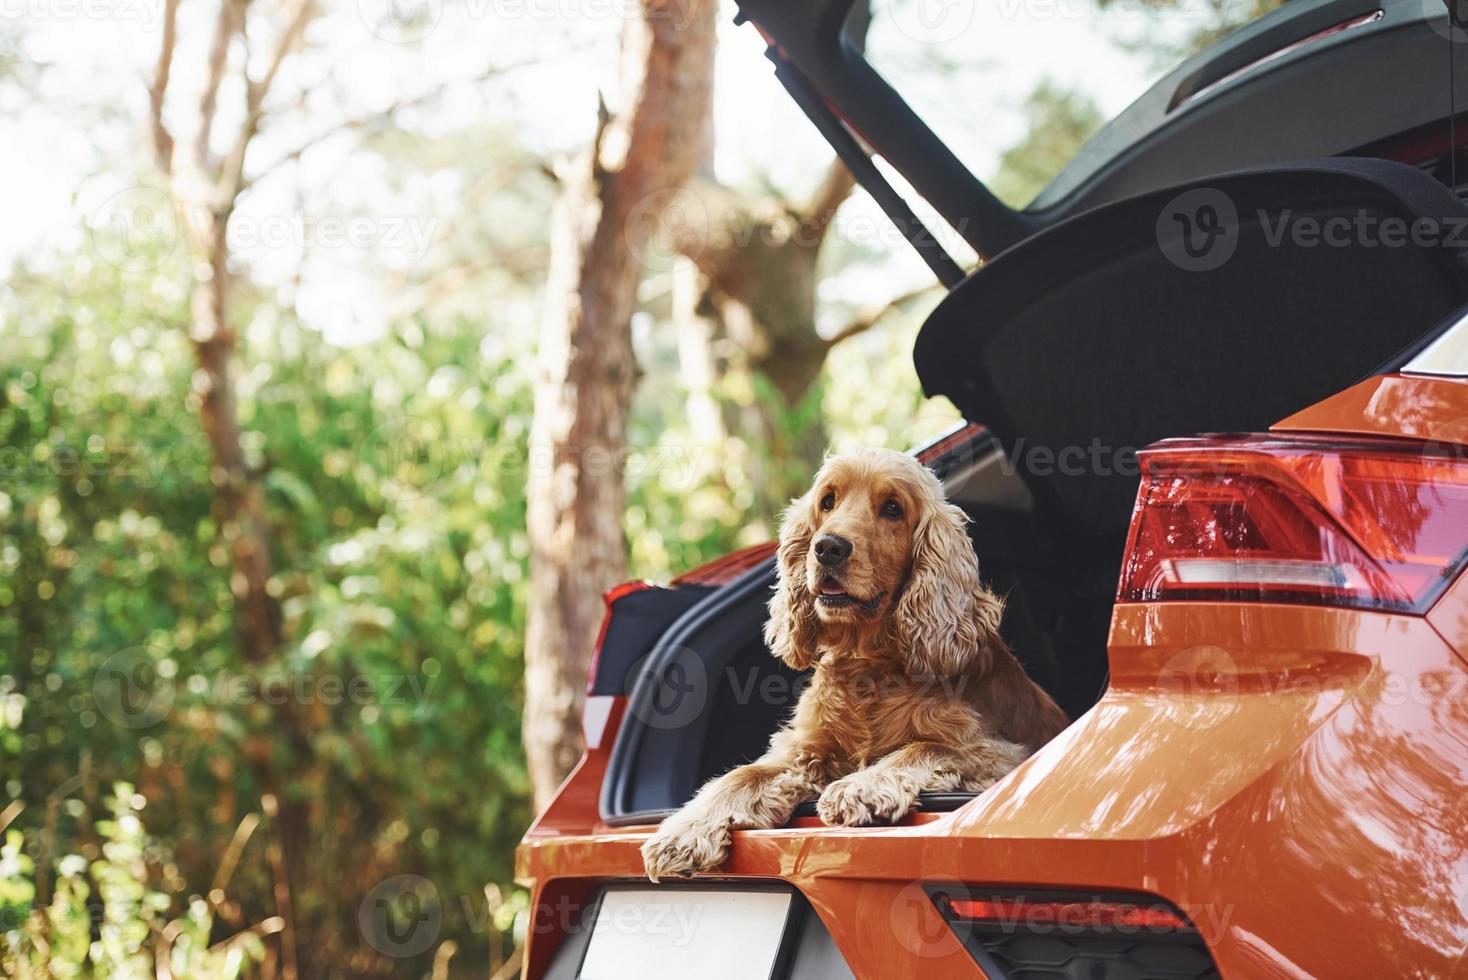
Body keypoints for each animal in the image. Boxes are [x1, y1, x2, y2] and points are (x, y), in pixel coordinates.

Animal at [642, 448, 1068, 886]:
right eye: (828, 501)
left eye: (893, 509)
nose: (828, 547)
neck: (870, 665)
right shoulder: (806, 751)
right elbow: (742, 775)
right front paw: (683, 831)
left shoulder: (1000, 752)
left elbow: (925, 746)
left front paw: (861, 786)